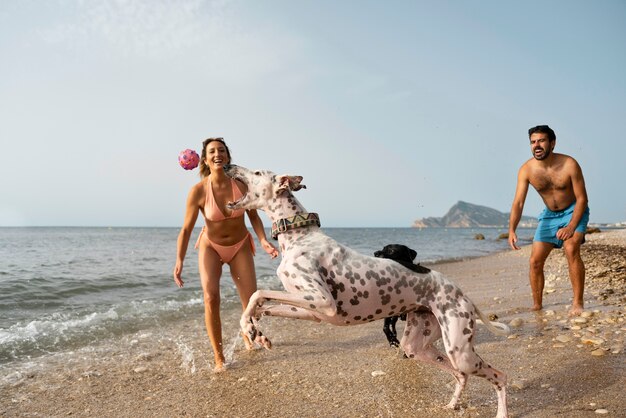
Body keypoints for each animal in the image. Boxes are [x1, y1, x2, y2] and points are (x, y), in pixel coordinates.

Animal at [224, 165, 508, 416]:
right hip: (419, 346)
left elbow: (258, 294)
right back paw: (451, 406)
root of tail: (463, 294)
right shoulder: (313, 310)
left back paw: (500, 412)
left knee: (499, 376)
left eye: (257, 171)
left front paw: (252, 328)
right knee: (459, 375)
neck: (300, 236)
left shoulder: (322, 300)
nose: (228, 166)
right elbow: (260, 303)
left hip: (461, 350)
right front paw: (256, 332)